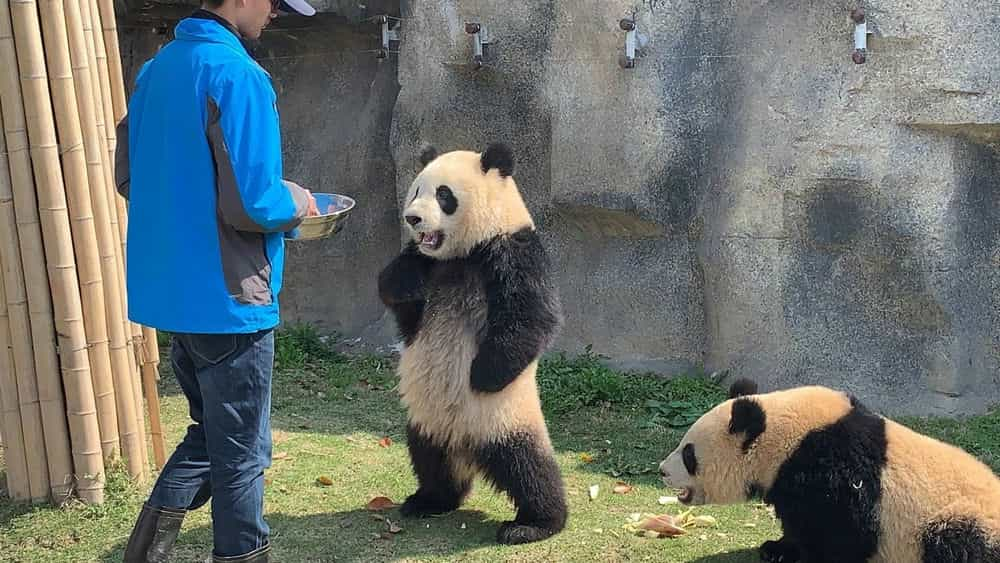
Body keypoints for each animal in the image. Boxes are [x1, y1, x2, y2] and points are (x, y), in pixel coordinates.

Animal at [376, 141, 568, 548]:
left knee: (528, 466)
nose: (412, 219)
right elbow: (400, 300)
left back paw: (534, 523)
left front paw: (483, 374)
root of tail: (466, 444)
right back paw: (430, 500)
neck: (463, 253)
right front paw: (407, 282)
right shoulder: (427, 264)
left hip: (504, 418)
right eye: (416, 191)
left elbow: (531, 317)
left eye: (443, 195)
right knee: (429, 457)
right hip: (426, 418)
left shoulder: (512, 249)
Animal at [656, 378, 1000, 563]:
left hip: (961, 520)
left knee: (956, 543)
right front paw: (777, 549)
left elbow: (839, 532)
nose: (662, 471)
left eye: (688, 454)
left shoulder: (832, 472)